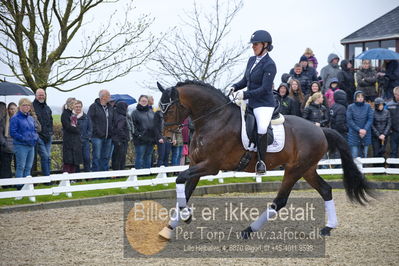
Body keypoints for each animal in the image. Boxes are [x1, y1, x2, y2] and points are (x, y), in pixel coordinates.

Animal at [157, 80, 376, 240]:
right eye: (160, 109)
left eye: (169, 109)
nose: (166, 138)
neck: (215, 119)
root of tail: (320, 130)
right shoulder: (196, 164)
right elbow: (184, 190)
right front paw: (169, 228)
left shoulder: (210, 166)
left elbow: (179, 179)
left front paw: (186, 216)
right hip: (307, 169)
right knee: (325, 190)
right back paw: (328, 227)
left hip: (294, 170)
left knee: (280, 201)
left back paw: (248, 230)